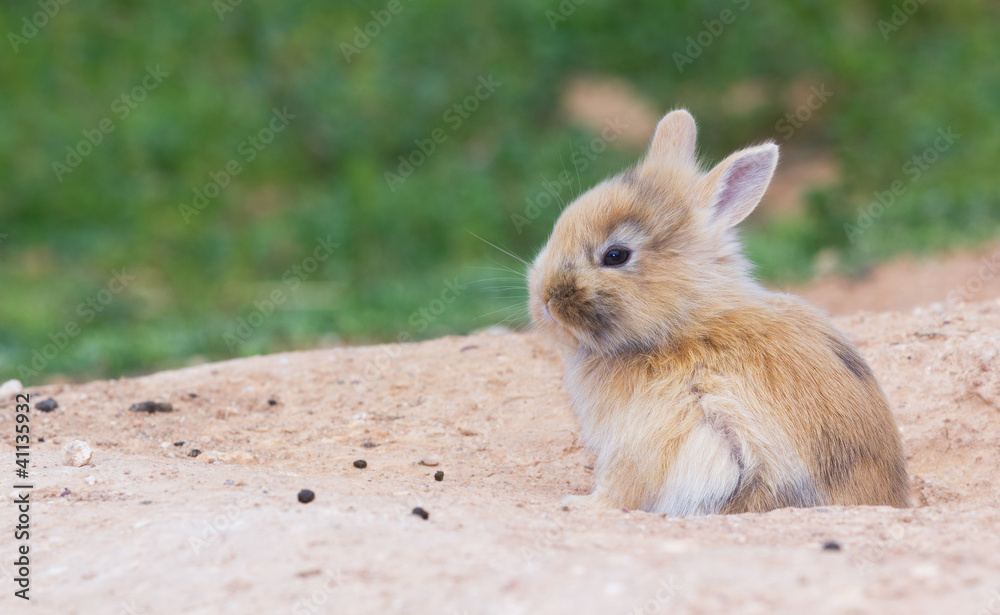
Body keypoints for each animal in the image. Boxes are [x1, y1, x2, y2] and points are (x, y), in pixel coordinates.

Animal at [527, 109, 909, 515]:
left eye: (616, 255)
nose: (544, 302)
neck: (681, 323)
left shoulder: (645, 437)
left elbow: (622, 487)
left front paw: (580, 504)